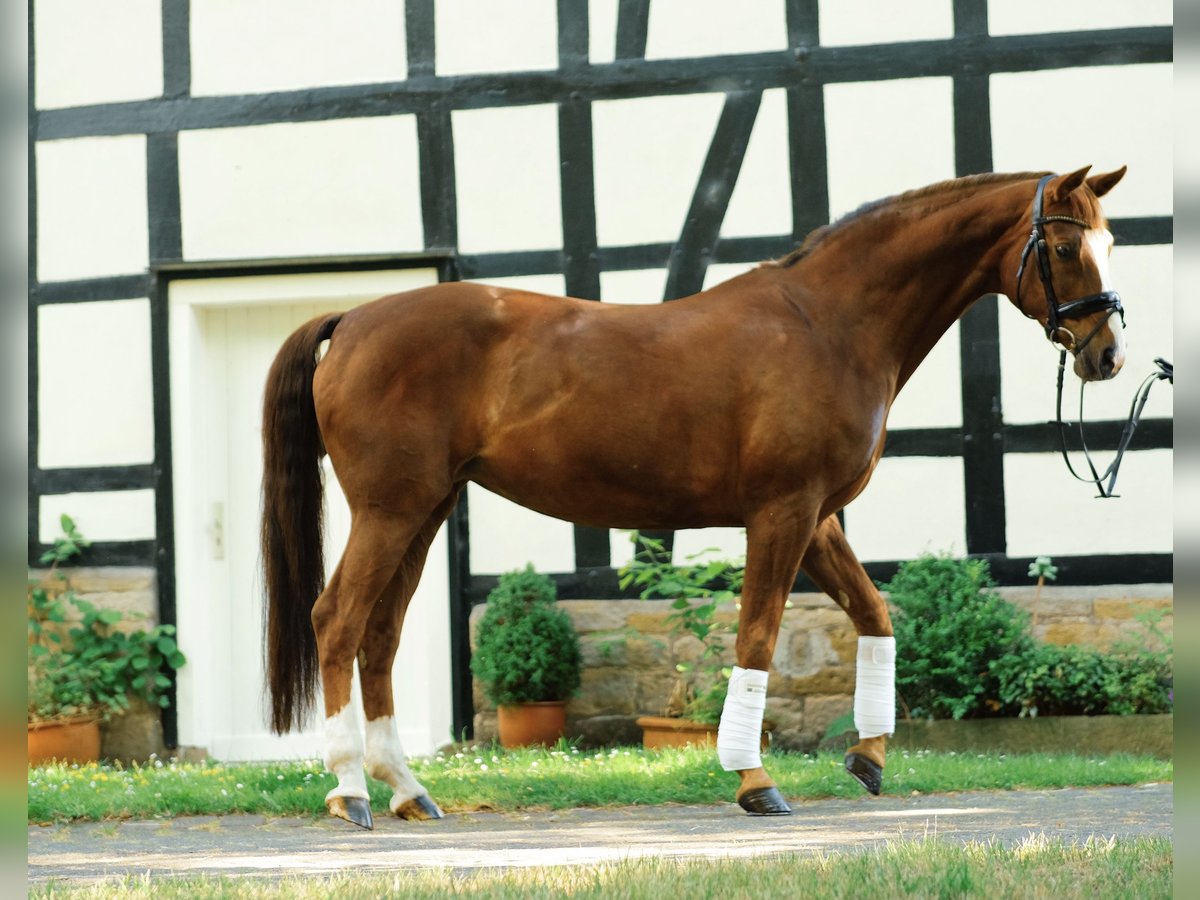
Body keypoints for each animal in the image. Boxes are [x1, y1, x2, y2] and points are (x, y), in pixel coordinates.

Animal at [260, 165, 1123, 830]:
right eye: (1065, 246)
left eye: (1111, 242)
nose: (1107, 355)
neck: (828, 323)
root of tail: (354, 317)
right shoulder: (782, 511)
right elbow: (757, 639)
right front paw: (754, 782)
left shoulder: (818, 519)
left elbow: (875, 616)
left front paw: (868, 757)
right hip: (391, 511)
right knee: (338, 620)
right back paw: (348, 792)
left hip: (424, 511)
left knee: (380, 637)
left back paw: (408, 791)